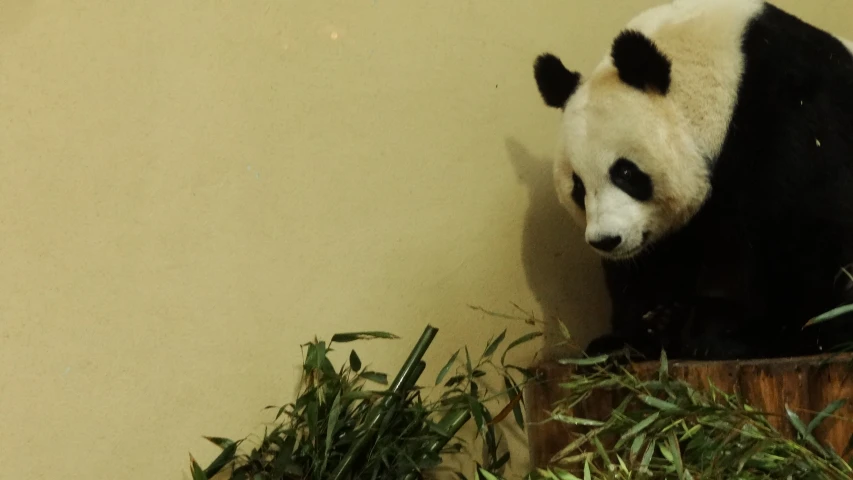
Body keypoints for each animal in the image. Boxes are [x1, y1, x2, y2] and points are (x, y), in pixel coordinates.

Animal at [528, 0, 852, 360]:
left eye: (625, 172)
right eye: (578, 187)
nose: (606, 240)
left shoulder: (792, 122)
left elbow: (785, 236)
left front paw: (721, 333)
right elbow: (654, 263)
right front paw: (634, 333)